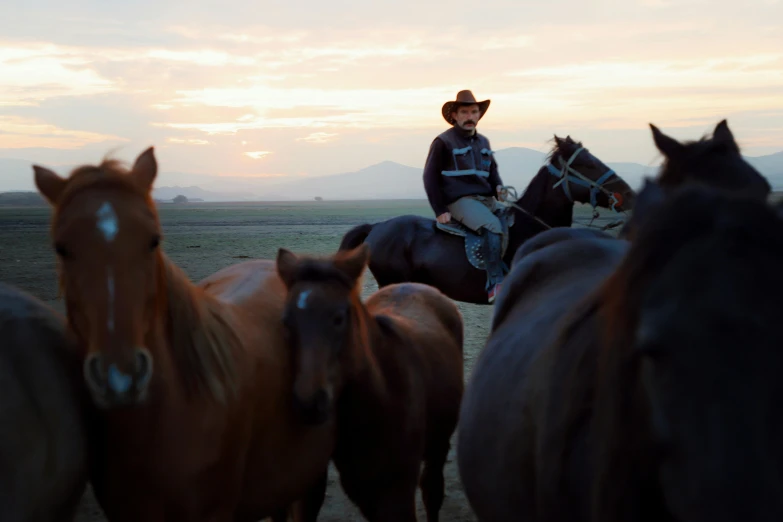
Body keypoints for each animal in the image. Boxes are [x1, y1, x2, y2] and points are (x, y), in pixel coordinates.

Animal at [276, 245, 462, 520]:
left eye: (339, 317)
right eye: (286, 321)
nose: (309, 403)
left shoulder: (397, 491)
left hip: (438, 444)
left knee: (432, 490)